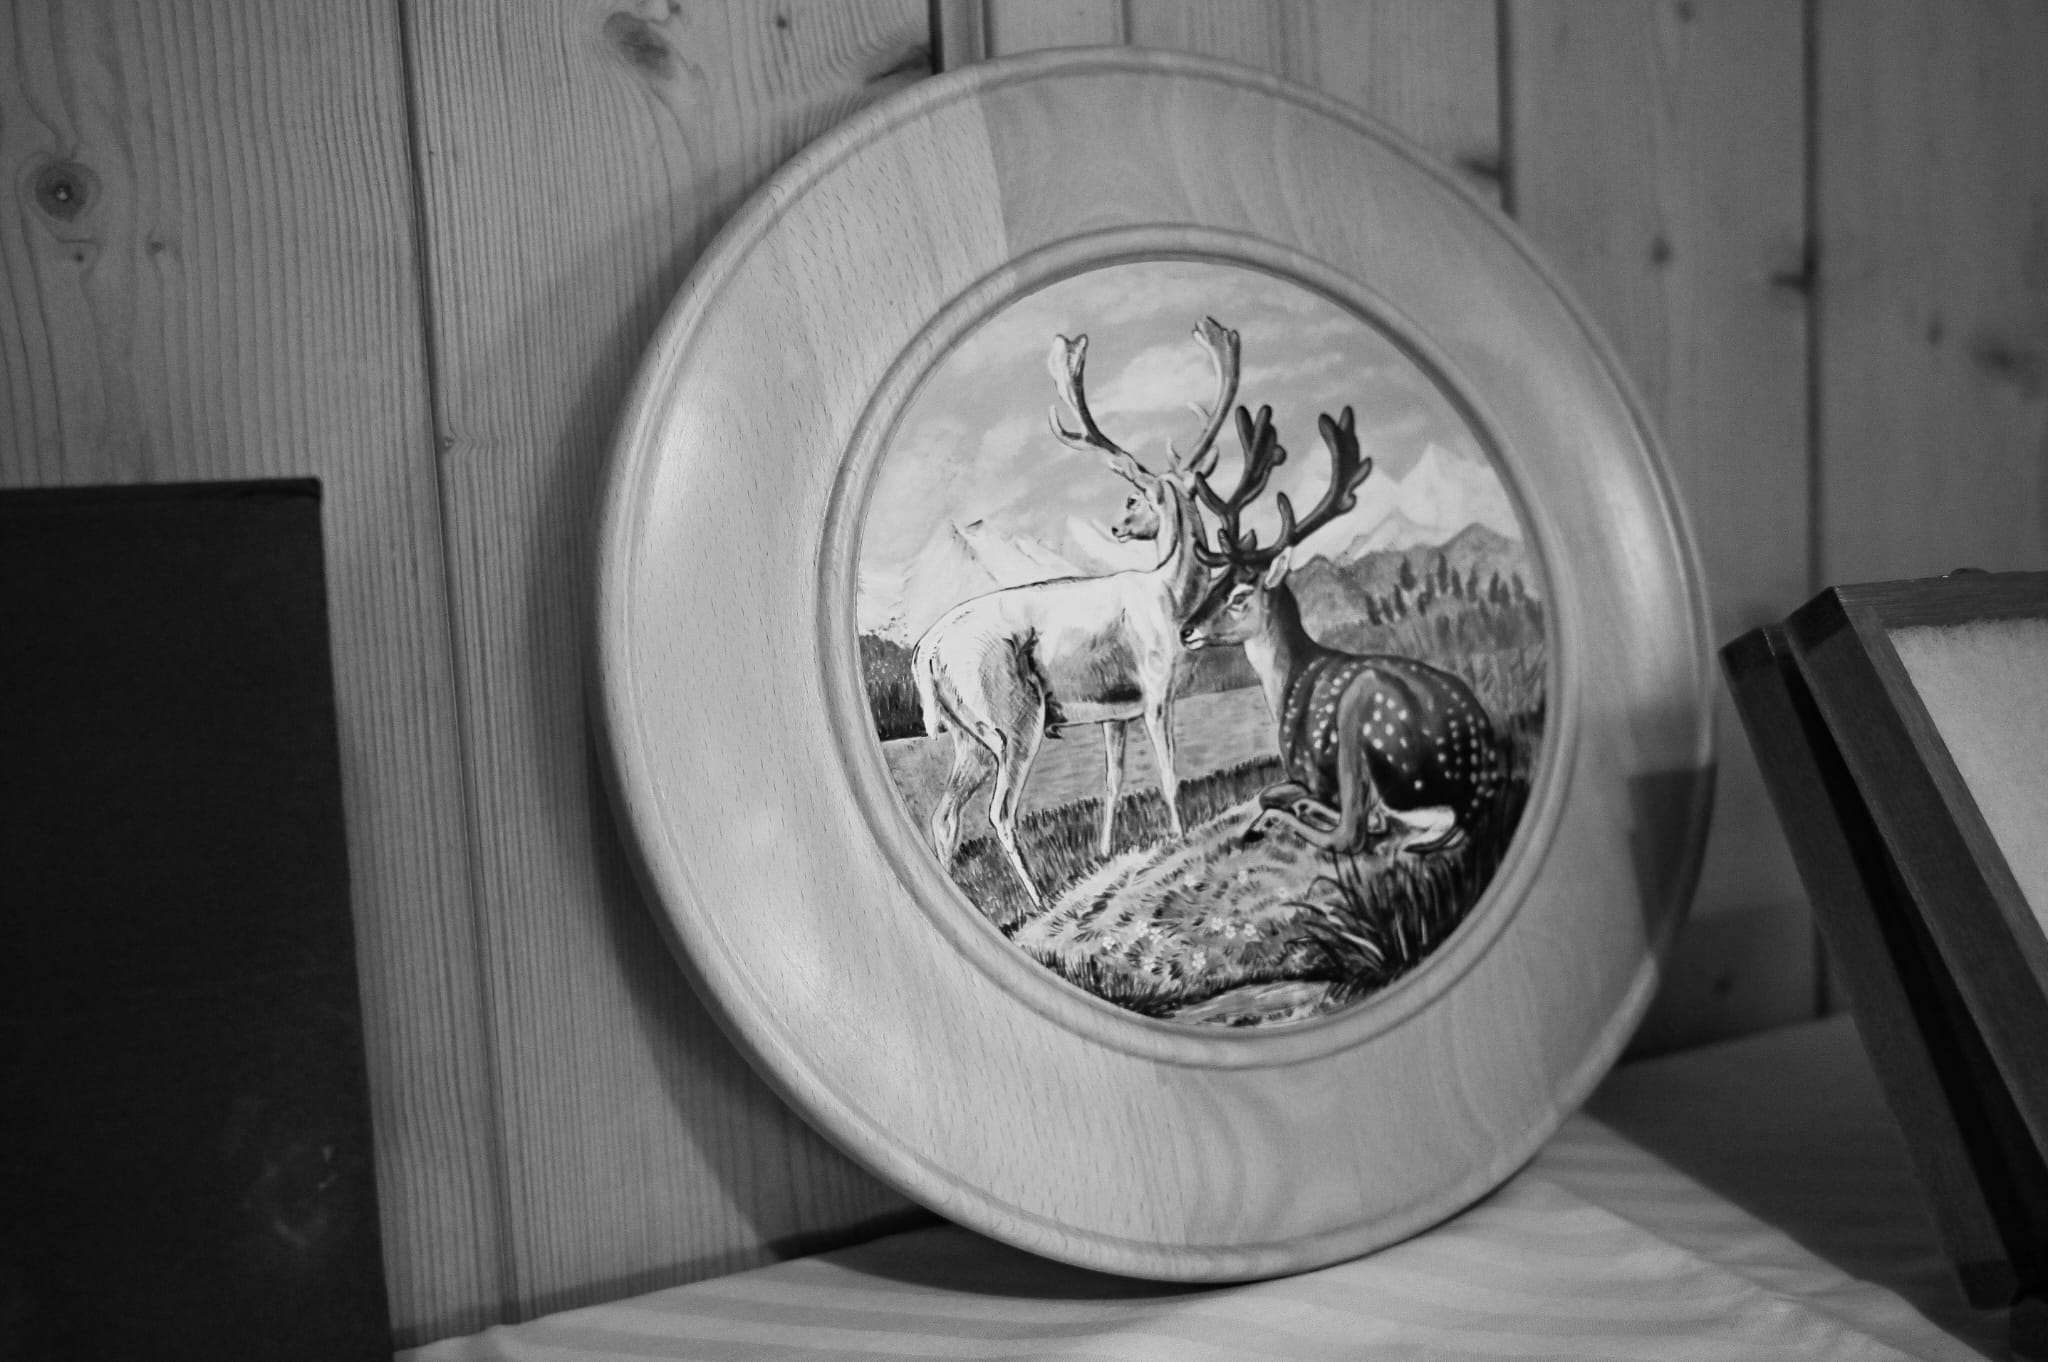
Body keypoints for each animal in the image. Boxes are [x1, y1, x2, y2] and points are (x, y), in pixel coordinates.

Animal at [912, 317, 1242, 907]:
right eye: (1133, 496)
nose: (1116, 526)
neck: (1170, 597)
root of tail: (925, 651)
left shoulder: (1116, 713)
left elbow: (1113, 782)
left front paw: (1106, 850)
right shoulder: (1157, 692)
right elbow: (1169, 772)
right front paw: (1180, 836)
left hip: (965, 736)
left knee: (944, 815)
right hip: (1014, 721)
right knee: (998, 813)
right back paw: (1039, 899)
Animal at [1179, 405, 1506, 857]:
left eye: (1240, 594)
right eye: (1215, 582)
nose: (1185, 630)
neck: (1286, 685)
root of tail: (1474, 794)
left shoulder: (1308, 769)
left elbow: (1270, 791)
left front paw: (1280, 810)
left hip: (1360, 707)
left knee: (1354, 830)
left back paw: (1282, 819)